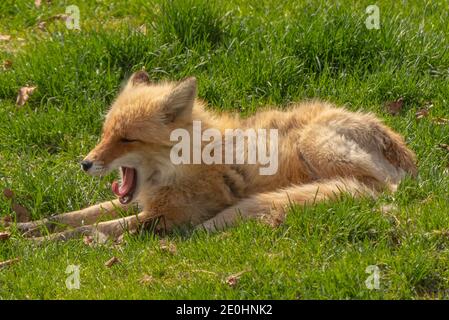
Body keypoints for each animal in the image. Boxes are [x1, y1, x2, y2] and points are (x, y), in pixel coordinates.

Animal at [10, 71, 416, 241]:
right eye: (106, 133)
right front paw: (24, 228)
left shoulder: (166, 218)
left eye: (127, 139)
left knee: (371, 190)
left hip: (317, 146)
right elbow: (72, 217)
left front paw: (33, 248)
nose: (85, 163)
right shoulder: (143, 202)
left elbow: (86, 230)